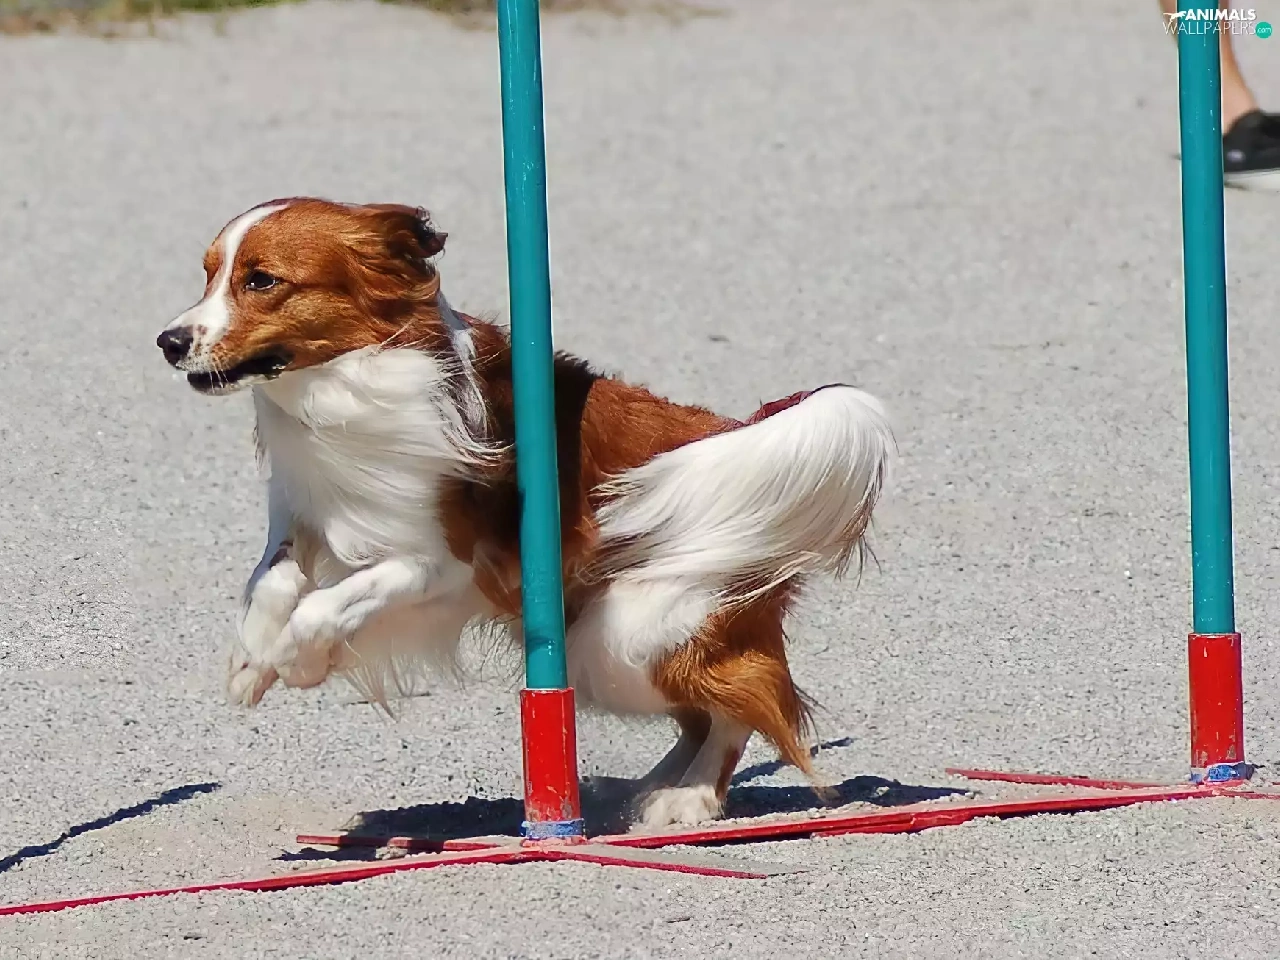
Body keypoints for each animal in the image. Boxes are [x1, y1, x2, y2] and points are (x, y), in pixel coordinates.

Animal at [156, 198, 894, 827]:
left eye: (262, 281)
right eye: (209, 275)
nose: (168, 341)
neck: (343, 385)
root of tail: (737, 434)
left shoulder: (444, 566)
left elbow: (326, 604)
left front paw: (299, 659)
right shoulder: (302, 508)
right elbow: (273, 578)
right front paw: (251, 662)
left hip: (625, 635)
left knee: (750, 699)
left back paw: (688, 799)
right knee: (706, 712)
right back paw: (654, 788)